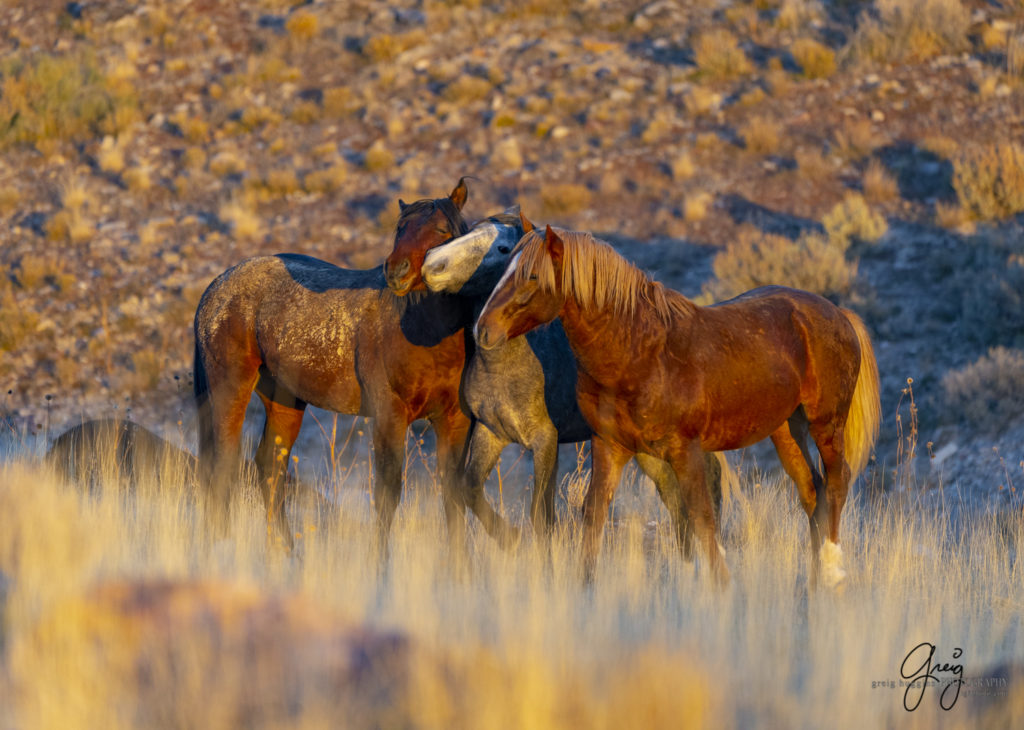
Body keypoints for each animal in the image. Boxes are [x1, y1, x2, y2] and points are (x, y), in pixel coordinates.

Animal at [417, 211, 729, 552]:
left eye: (501, 248)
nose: (431, 264)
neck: (502, 368)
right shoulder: (491, 432)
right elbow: (470, 489)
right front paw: (509, 538)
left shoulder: (545, 440)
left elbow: (541, 515)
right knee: (673, 494)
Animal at [475, 222, 884, 585]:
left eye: (531, 276)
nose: (483, 329)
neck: (640, 353)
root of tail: (837, 313)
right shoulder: (609, 446)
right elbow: (595, 514)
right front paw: (585, 586)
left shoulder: (686, 451)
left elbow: (701, 517)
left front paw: (721, 587)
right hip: (786, 429)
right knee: (812, 491)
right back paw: (814, 584)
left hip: (825, 423)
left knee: (837, 483)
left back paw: (832, 572)